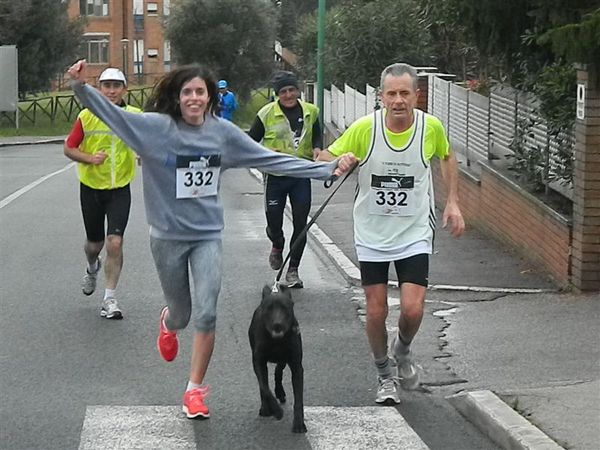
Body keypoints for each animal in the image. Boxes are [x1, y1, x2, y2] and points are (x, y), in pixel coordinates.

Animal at [248, 284, 308, 434]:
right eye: (269, 308)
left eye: (285, 308)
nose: (277, 324)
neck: (276, 341)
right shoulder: (258, 362)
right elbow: (264, 387)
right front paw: (276, 411)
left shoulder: (297, 366)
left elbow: (299, 399)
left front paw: (299, 424)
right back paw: (265, 408)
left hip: (284, 359)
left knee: (278, 371)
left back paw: (280, 392)